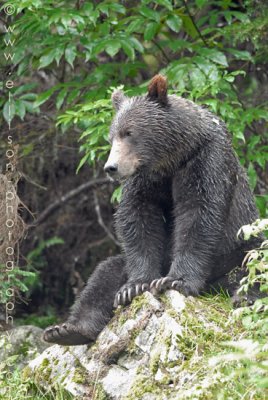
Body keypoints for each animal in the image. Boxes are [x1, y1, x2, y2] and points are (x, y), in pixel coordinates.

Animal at [43, 76, 260, 346]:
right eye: (112, 137)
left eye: (129, 133)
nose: (111, 167)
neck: (173, 157)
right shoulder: (145, 180)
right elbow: (138, 219)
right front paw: (134, 287)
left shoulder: (206, 160)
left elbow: (198, 213)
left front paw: (175, 280)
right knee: (105, 273)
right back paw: (68, 330)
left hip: (239, 248)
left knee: (253, 265)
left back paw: (244, 297)